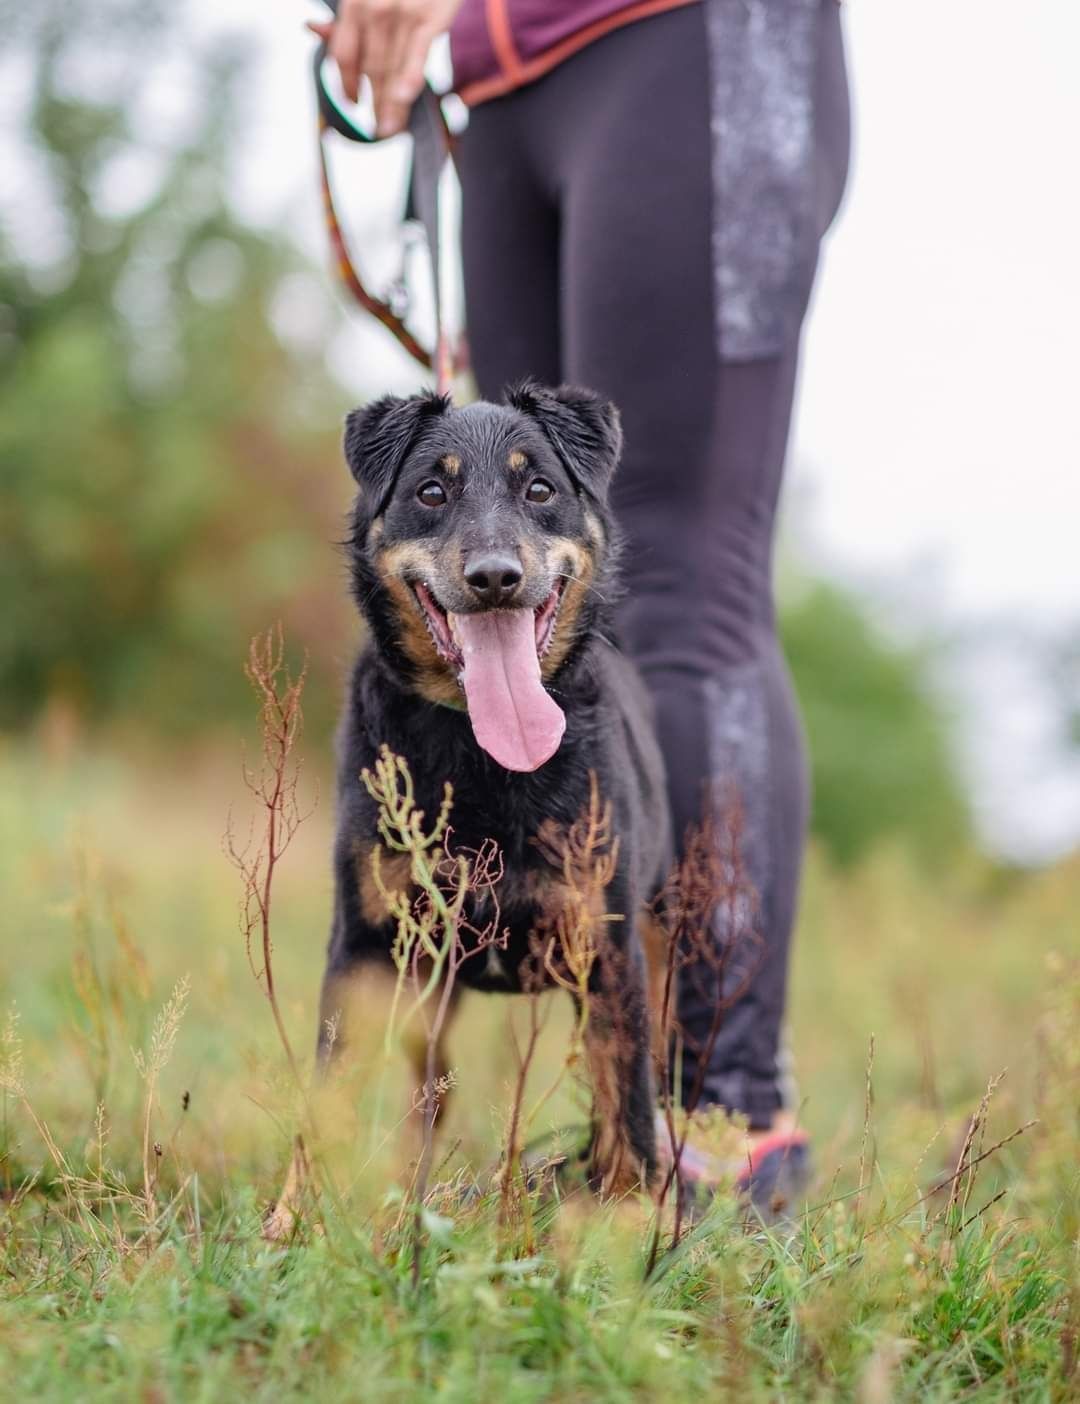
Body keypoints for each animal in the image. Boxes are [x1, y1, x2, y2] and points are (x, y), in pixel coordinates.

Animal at [311, 381, 668, 1196]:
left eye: (539, 489)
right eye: (431, 492)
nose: (496, 577)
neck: (482, 753)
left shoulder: (606, 956)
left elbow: (627, 1118)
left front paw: (632, 1225)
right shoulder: (366, 950)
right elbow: (326, 1108)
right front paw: (298, 1217)